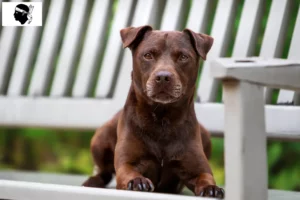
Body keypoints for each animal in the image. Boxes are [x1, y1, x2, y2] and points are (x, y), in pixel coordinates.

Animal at [83, 25, 224, 198]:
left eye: (183, 57)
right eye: (148, 55)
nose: (163, 77)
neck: (162, 119)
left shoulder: (198, 169)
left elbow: (206, 177)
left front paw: (212, 188)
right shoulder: (127, 163)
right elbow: (128, 172)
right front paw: (137, 181)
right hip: (100, 138)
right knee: (104, 172)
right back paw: (93, 180)